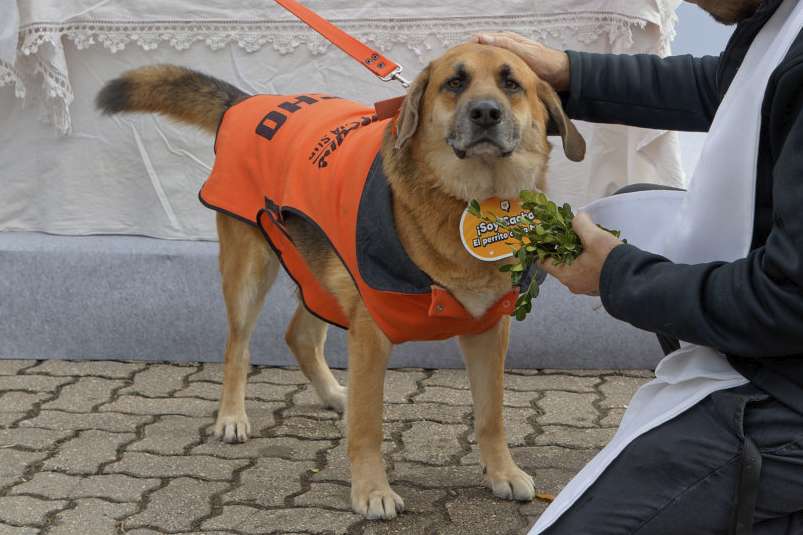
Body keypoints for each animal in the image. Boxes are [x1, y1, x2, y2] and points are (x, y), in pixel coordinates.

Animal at [99, 44, 584, 520]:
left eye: (511, 83)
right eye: (455, 82)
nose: (485, 112)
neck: (471, 204)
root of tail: (247, 102)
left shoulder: (487, 330)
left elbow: (491, 415)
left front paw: (502, 472)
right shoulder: (370, 334)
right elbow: (369, 426)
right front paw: (372, 491)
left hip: (322, 275)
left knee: (299, 335)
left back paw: (334, 394)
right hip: (250, 269)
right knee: (238, 347)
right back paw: (232, 415)